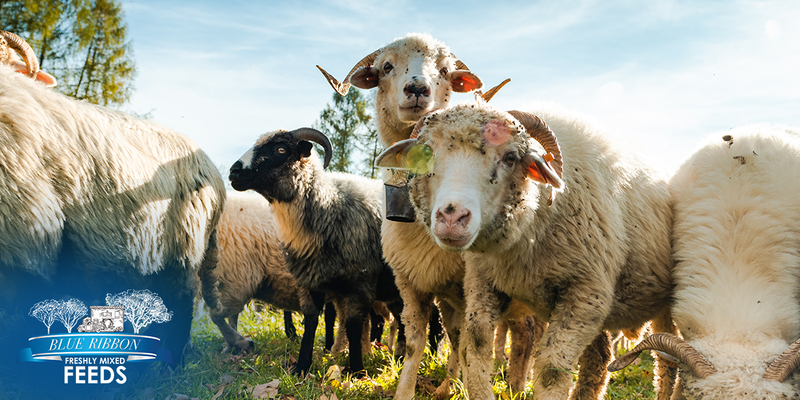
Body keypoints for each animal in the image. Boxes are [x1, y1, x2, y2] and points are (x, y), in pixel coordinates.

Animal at [227, 127, 406, 375]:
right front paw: (302, 366)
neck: (330, 207)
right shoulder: (310, 283)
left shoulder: (359, 284)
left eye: (281, 149)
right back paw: (399, 355)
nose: (233, 171)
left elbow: (352, 326)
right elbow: (311, 323)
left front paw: (357, 371)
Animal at [319, 34, 539, 399]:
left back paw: (517, 385)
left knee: (525, 330)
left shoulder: (471, 286)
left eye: (445, 71)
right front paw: (415, 390)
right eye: (386, 67)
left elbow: (469, 345)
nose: (418, 88)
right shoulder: (411, 282)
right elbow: (418, 344)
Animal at [376, 101, 678, 400]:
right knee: (599, 357)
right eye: (426, 153)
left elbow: (552, 371)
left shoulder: (585, 295)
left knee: (666, 360)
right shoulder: (483, 281)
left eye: (511, 157)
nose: (452, 218)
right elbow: (475, 345)